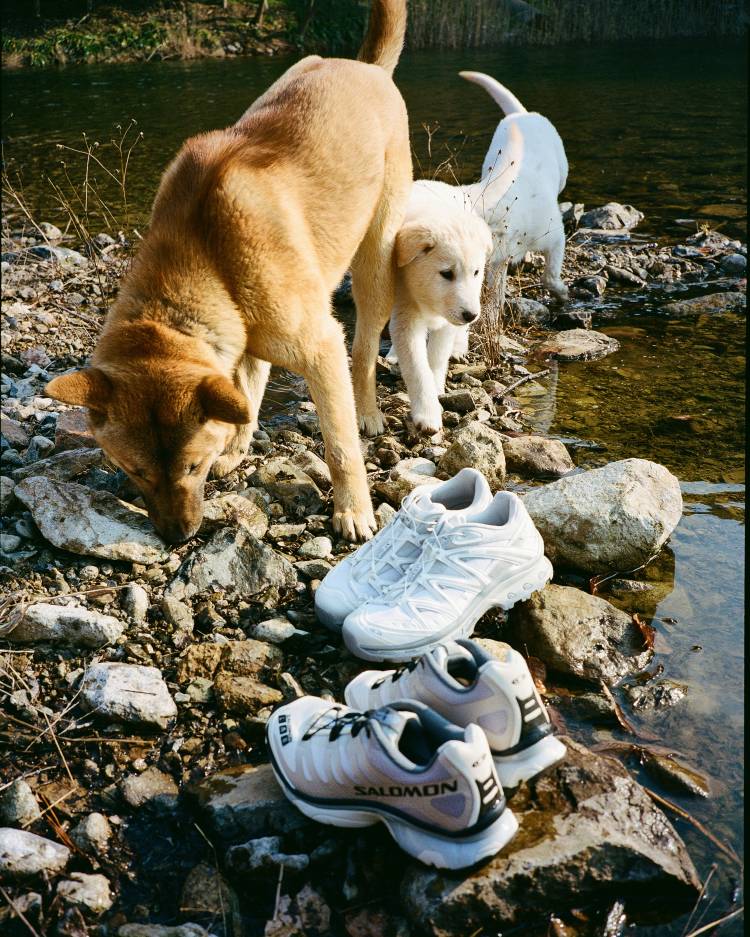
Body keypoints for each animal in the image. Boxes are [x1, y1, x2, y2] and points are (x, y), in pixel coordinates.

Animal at [46, 0, 411, 545]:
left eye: (193, 468)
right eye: (134, 472)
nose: (178, 536)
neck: (202, 255)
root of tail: (365, 67)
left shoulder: (321, 348)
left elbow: (340, 447)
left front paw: (353, 509)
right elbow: (247, 390)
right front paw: (237, 444)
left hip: (374, 262)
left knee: (364, 349)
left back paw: (367, 412)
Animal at [385, 181, 492, 433]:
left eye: (476, 271)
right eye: (446, 273)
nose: (471, 315)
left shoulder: (448, 320)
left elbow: (436, 358)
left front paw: (435, 392)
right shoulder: (405, 315)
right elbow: (417, 367)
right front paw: (428, 414)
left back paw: (459, 348)